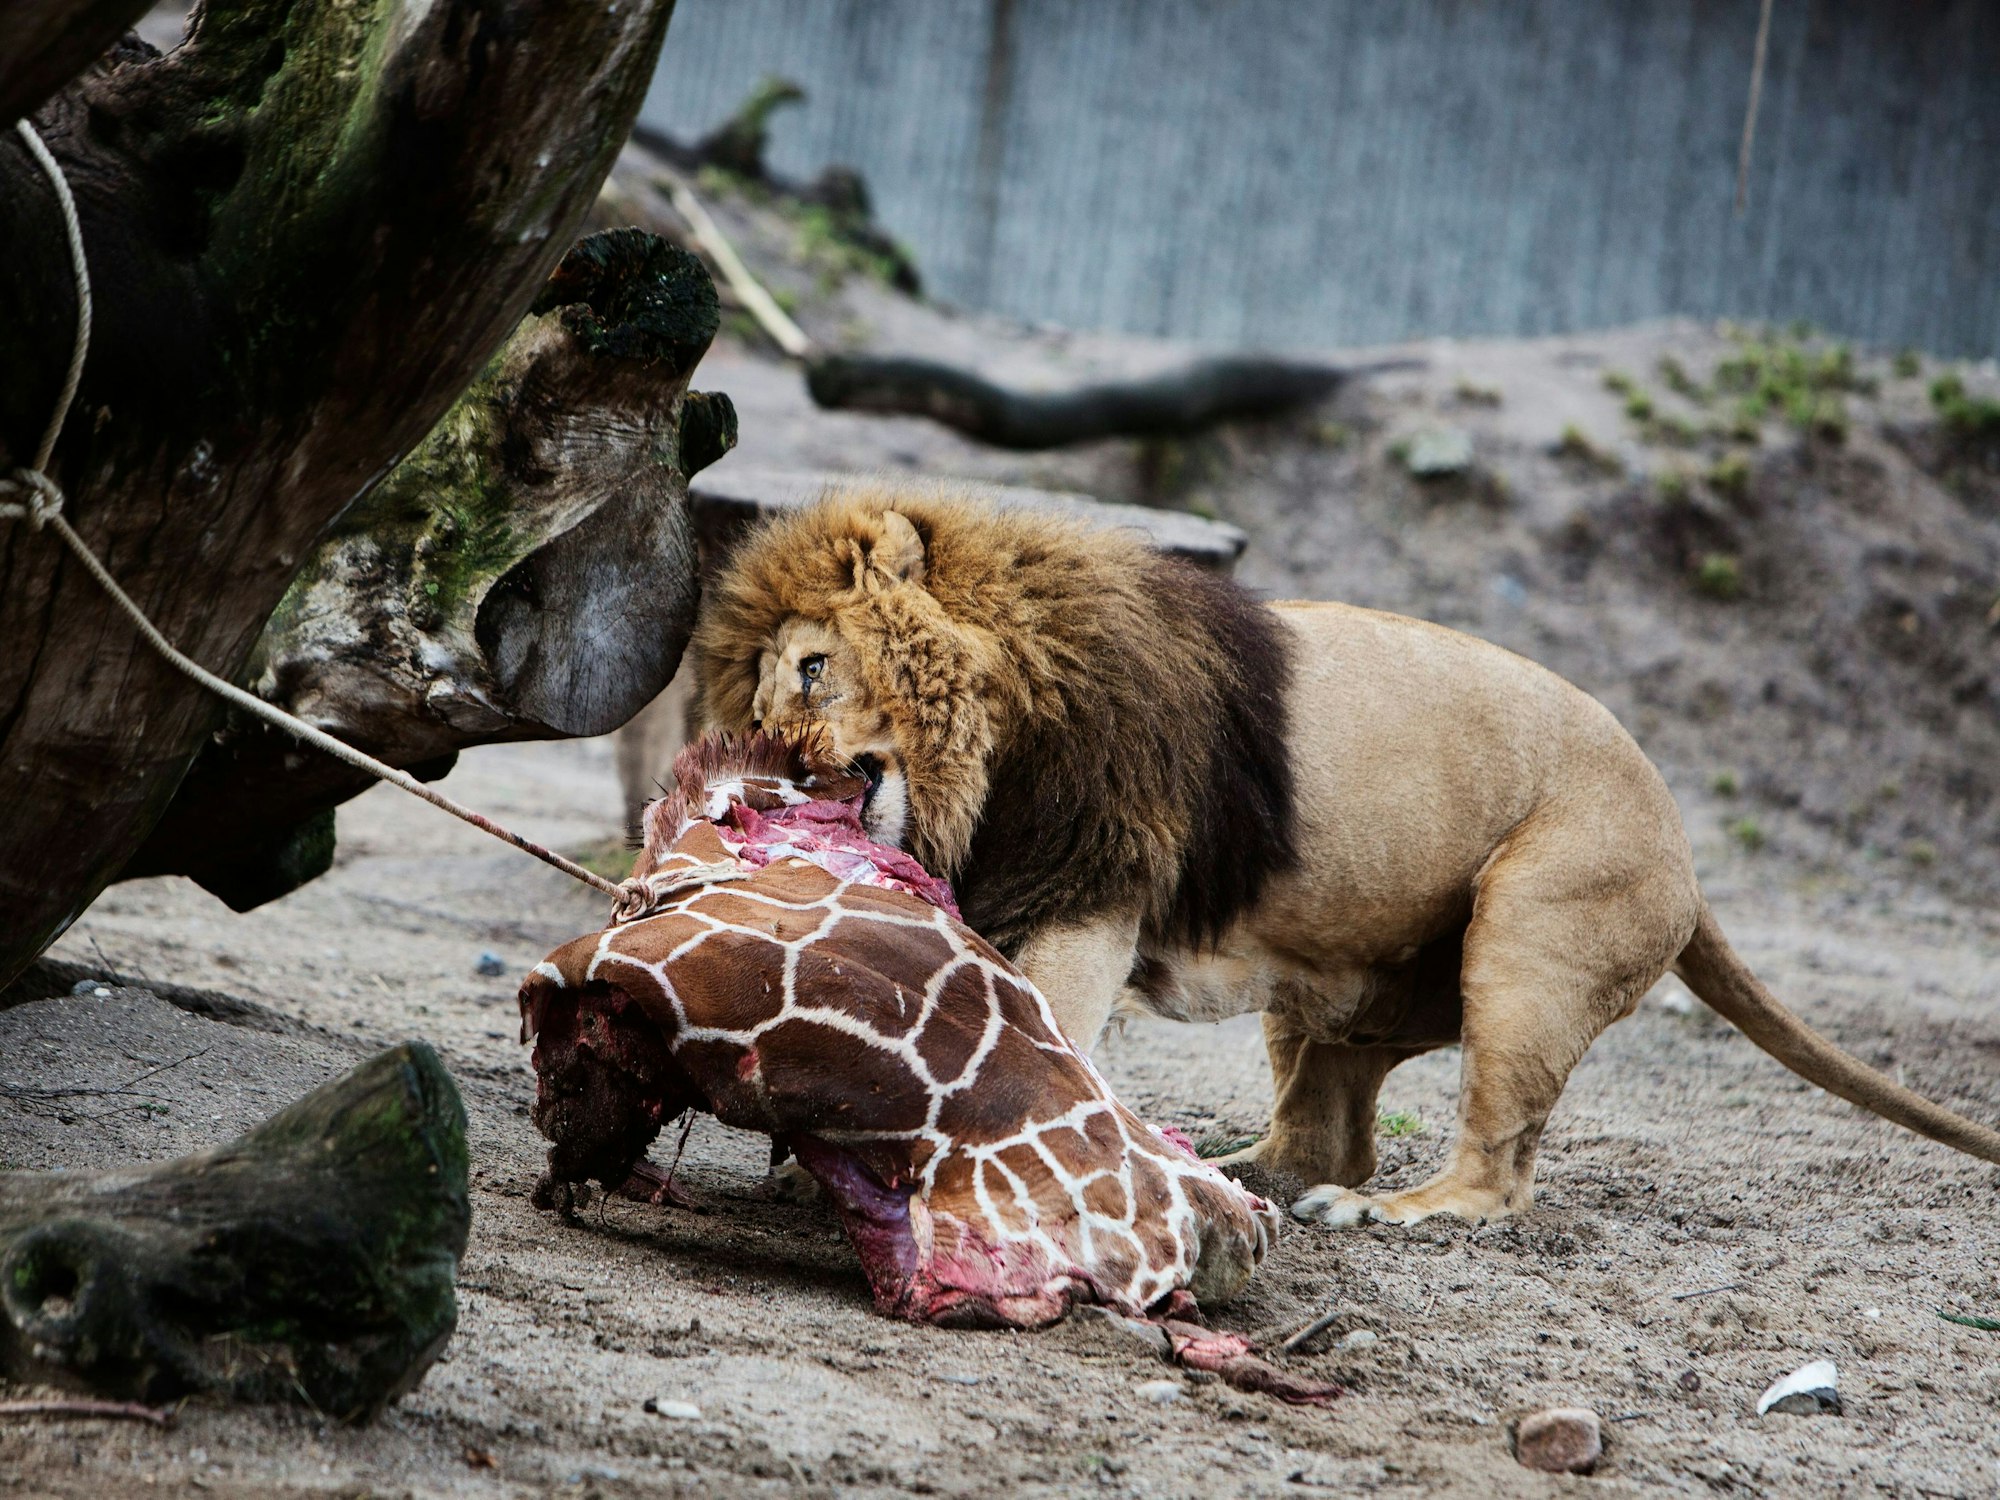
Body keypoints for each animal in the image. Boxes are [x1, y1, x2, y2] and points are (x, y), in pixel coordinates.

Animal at [689, 488, 2000, 1229]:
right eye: (756, 699)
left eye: (811, 670)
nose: (774, 767)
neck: (992, 745)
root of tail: (1683, 844)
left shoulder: (1089, 892)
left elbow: (1034, 1033)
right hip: (1331, 987)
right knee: (1324, 1129)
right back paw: (1239, 1171)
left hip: (1532, 939)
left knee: (1493, 1172)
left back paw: (1391, 1215)